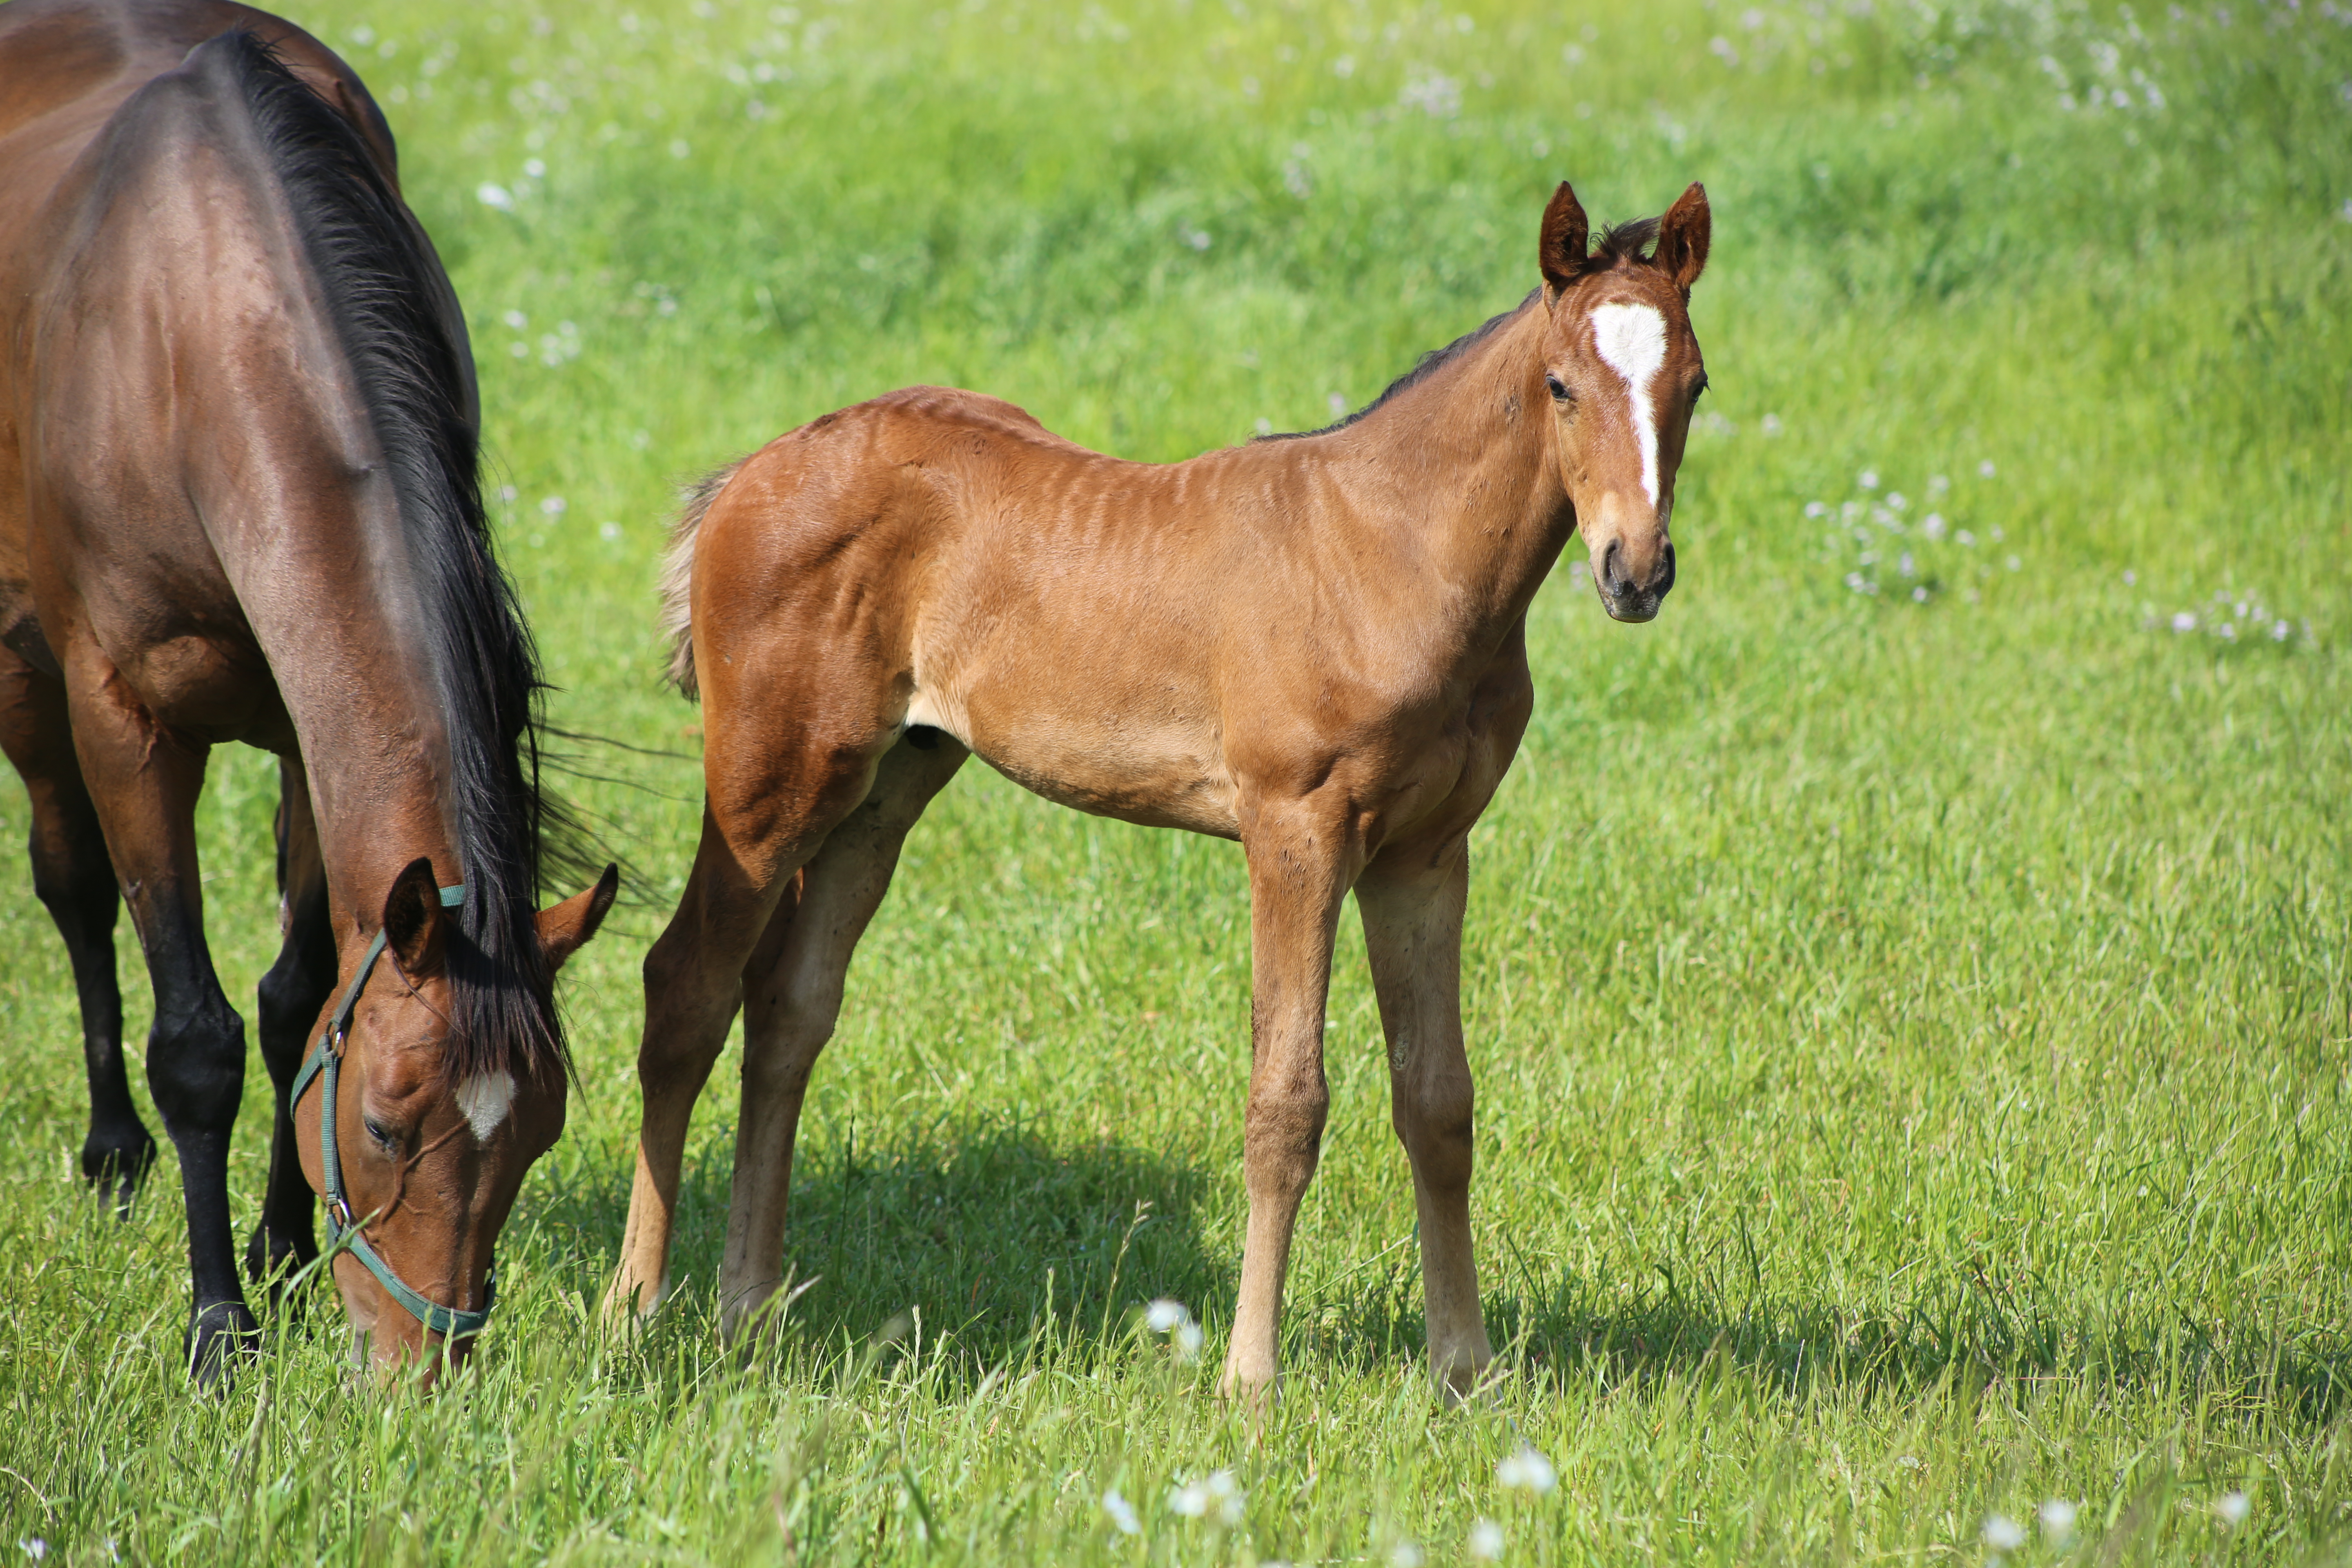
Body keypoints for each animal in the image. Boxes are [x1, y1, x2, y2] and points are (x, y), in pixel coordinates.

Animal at [0, 0, 616, 1382]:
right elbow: (196, 1038)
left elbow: (296, 1005)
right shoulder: (125, 719)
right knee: (70, 885)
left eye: (539, 1133)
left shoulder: (302, 728)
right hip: (21, 667)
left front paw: (281, 1252)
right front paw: (220, 1325)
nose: (422, 1368)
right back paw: (110, 1151)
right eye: (388, 1127)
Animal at [607, 181, 1712, 1401]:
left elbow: (1439, 1103)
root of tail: (749, 474)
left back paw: (747, 1310)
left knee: (789, 1010)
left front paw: (1464, 1373)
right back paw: (635, 1309)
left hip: (881, 787)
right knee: (686, 988)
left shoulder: (1425, 853)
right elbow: (1285, 1103)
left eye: (1694, 385)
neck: (1393, 553)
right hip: (770, 782)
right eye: (1560, 385)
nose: (1634, 572)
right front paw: (1248, 1381)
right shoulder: (1295, 832)